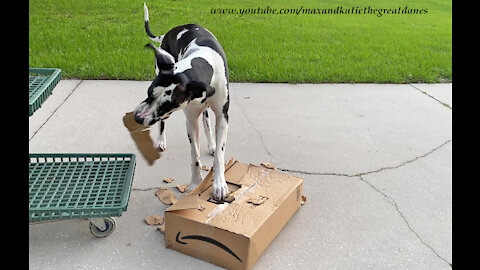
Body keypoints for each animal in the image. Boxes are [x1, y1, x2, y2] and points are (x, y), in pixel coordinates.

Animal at [134, 3, 232, 199]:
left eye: (167, 104)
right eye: (149, 92)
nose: (137, 118)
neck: (203, 59)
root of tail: (171, 30)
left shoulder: (223, 116)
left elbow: (219, 154)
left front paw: (219, 184)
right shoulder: (190, 121)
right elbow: (194, 156)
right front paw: (195, 183)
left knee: (206, 119)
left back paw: (211, 143)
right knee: (164, 123)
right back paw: (160, 140)